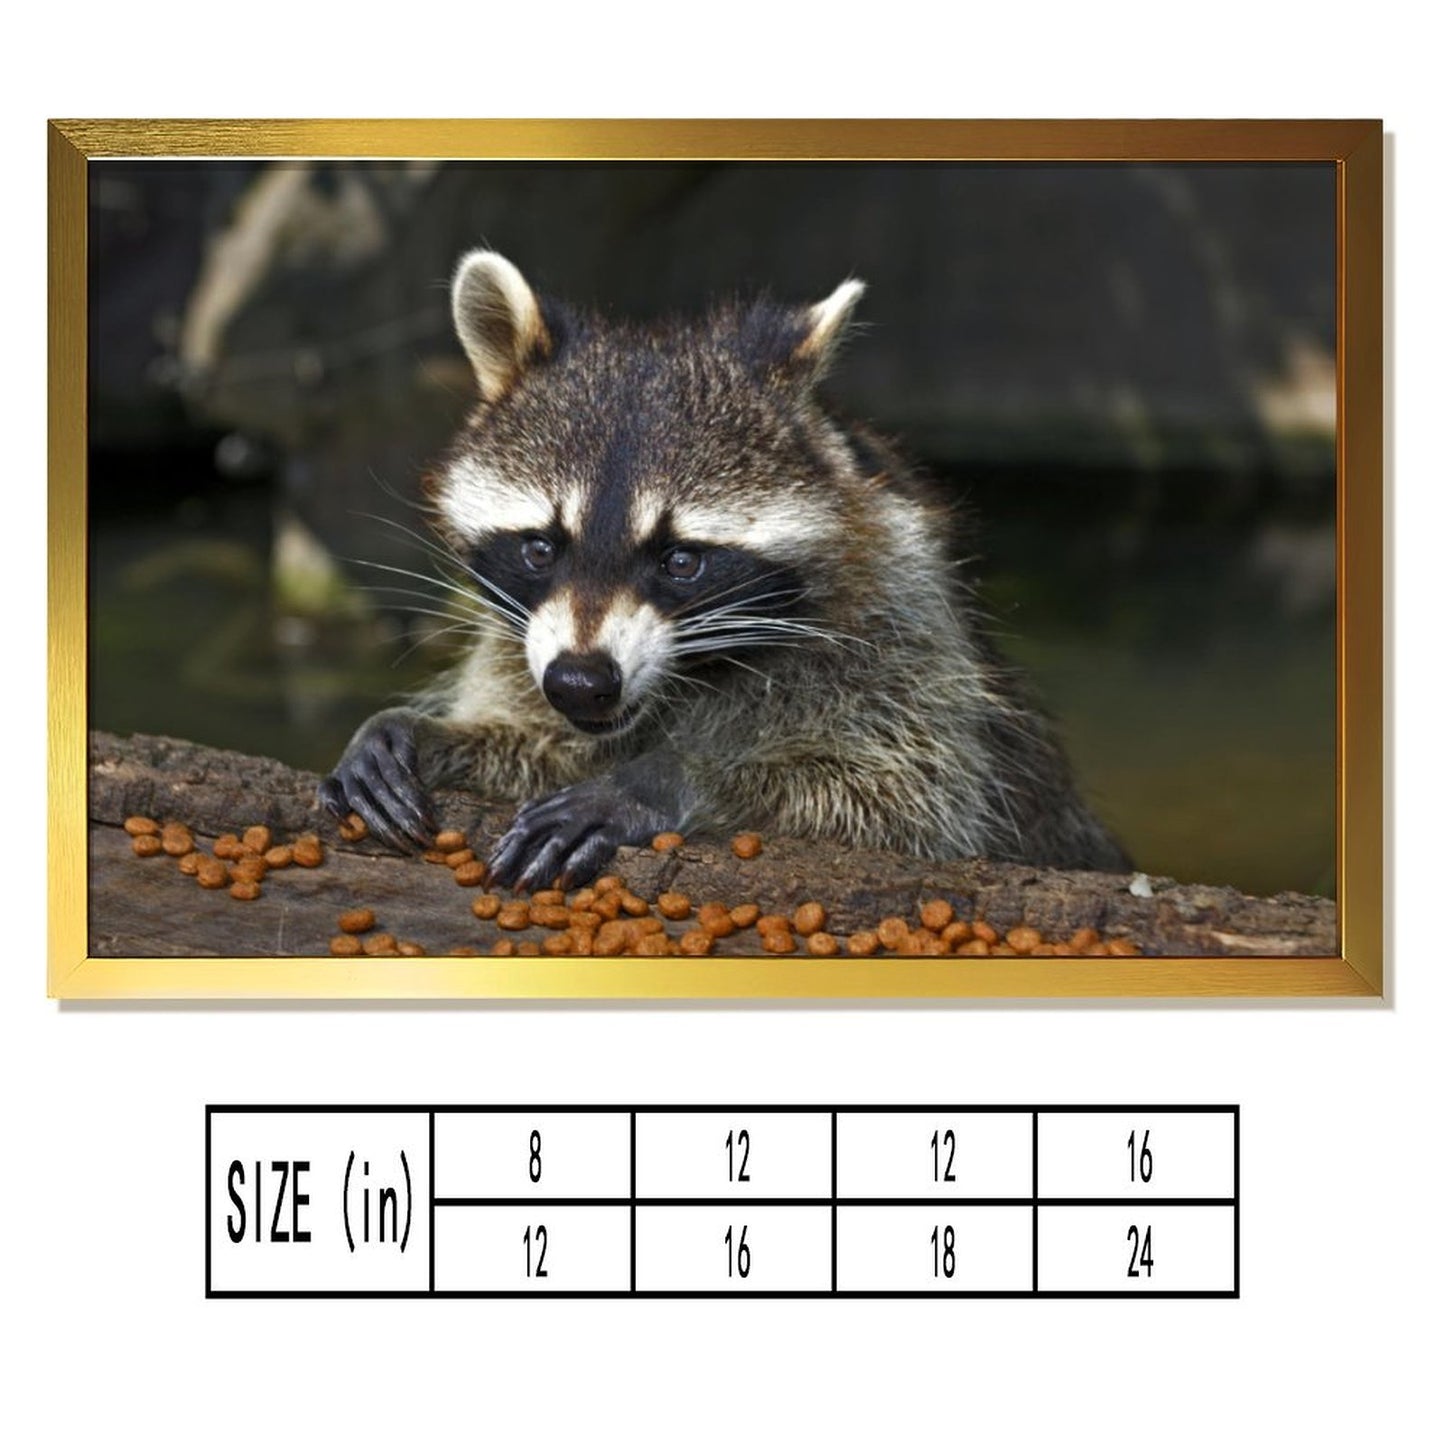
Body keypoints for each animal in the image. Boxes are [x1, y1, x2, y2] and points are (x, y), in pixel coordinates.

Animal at [318, 250, 1129, 888]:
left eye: (682, 560)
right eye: (541, 547)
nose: (581, 681)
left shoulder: (901, 628)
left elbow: (901, 803)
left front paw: (666, 778)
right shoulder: (520, 649)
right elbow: (539, 736)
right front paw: (420, 731)